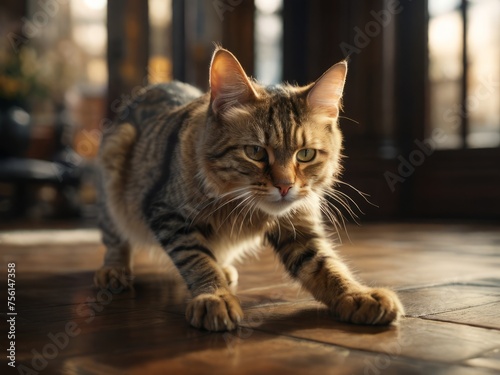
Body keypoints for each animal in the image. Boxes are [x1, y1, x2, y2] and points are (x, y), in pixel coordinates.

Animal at [95, 47, 404, 332]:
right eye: (255, 152)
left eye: (305, 154)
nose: (285, 186)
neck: (244, 207)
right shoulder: (169, 214)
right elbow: (196, 258)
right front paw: (215, 296)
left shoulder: (300, 227)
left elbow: (327, 266)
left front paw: (357, 294)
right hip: (114, 165)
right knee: (115, 240)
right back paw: (114, 271)